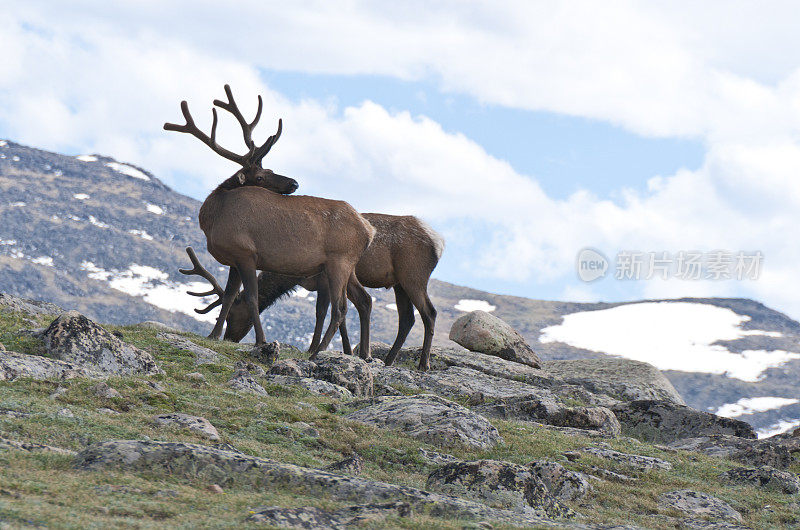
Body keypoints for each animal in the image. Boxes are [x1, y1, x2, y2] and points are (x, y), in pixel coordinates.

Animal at [165, 85, 376, 358]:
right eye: (262, 176)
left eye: (267, 171)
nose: (294, 183)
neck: (213, 218)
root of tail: (369, 230)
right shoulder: (234, 258)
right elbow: (230, 296)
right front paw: (213, 335)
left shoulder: (246, 252)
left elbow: (252, 298)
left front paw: (261, 341)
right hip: (348, 265)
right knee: (364, 300)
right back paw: (364, 354)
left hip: (339, 260)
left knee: (340, 308)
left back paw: (317, 352)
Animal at [182, 211, 444, 372]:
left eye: (231, 315)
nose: (229, 338)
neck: (293, 277)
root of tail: (438, 242)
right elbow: (338, 316)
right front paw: (346, 351)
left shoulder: (324, 281)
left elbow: (322, 313)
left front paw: (314, 348)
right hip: (399, 284)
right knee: (407, 319)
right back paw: (388, 360)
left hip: (413, 276)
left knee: (429, 312)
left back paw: (423, 364)